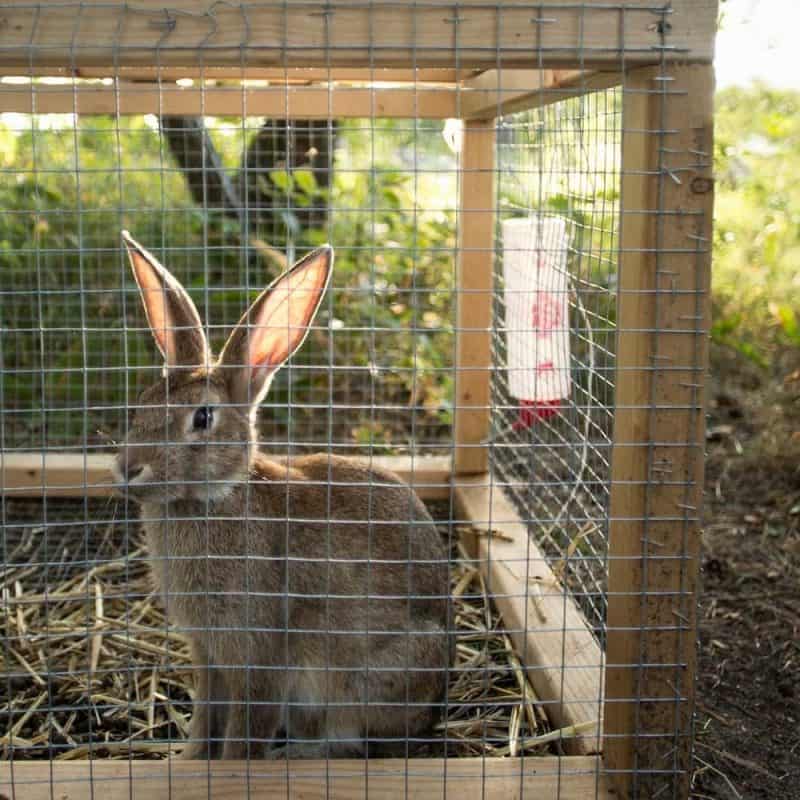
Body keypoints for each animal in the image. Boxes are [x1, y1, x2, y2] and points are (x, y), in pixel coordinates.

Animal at [112, 231, 452, 761]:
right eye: (142, 405)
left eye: (202, 418)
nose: (128, 468)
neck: (216, 498)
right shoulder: (207, 656)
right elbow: (204, 718)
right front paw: (187, 762)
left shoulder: (260, 658)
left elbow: (243, 732)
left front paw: (230, 767)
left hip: (360, 680)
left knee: (350, 744)